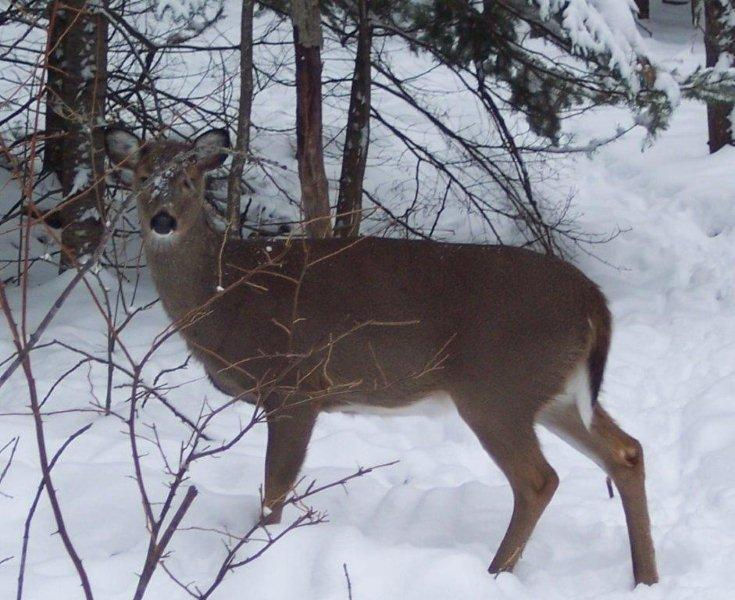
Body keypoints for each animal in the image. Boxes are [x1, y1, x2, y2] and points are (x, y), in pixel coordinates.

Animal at [104, 126, 658, 586]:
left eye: (190, 180)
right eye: (142, 177)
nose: (162, 220)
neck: (228, 293)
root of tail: (594, 300)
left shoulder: (296, 385)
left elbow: (275, 488)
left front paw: (260, 552)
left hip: (496, 389)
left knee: (539, 480)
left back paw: (494, 574)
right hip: (552, 392)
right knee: (627, 451)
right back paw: (645, 578)